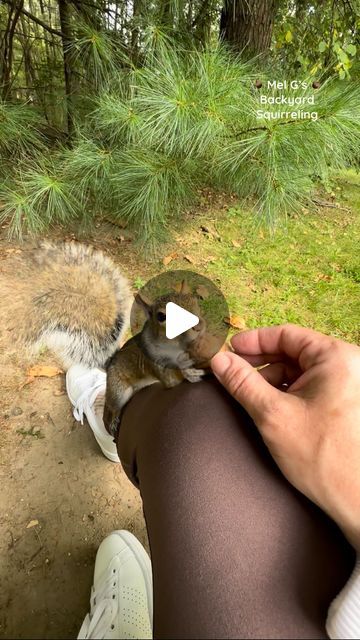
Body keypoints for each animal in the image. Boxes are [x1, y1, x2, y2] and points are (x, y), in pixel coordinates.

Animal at [1, 242, 219, 438]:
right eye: (161, 317)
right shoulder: (156, 363)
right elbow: (172, 380)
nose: (199, 326)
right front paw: (190, 373)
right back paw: (110, 424)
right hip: (119, 390)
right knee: (110, 408)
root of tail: (109, 364)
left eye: (195, 301)